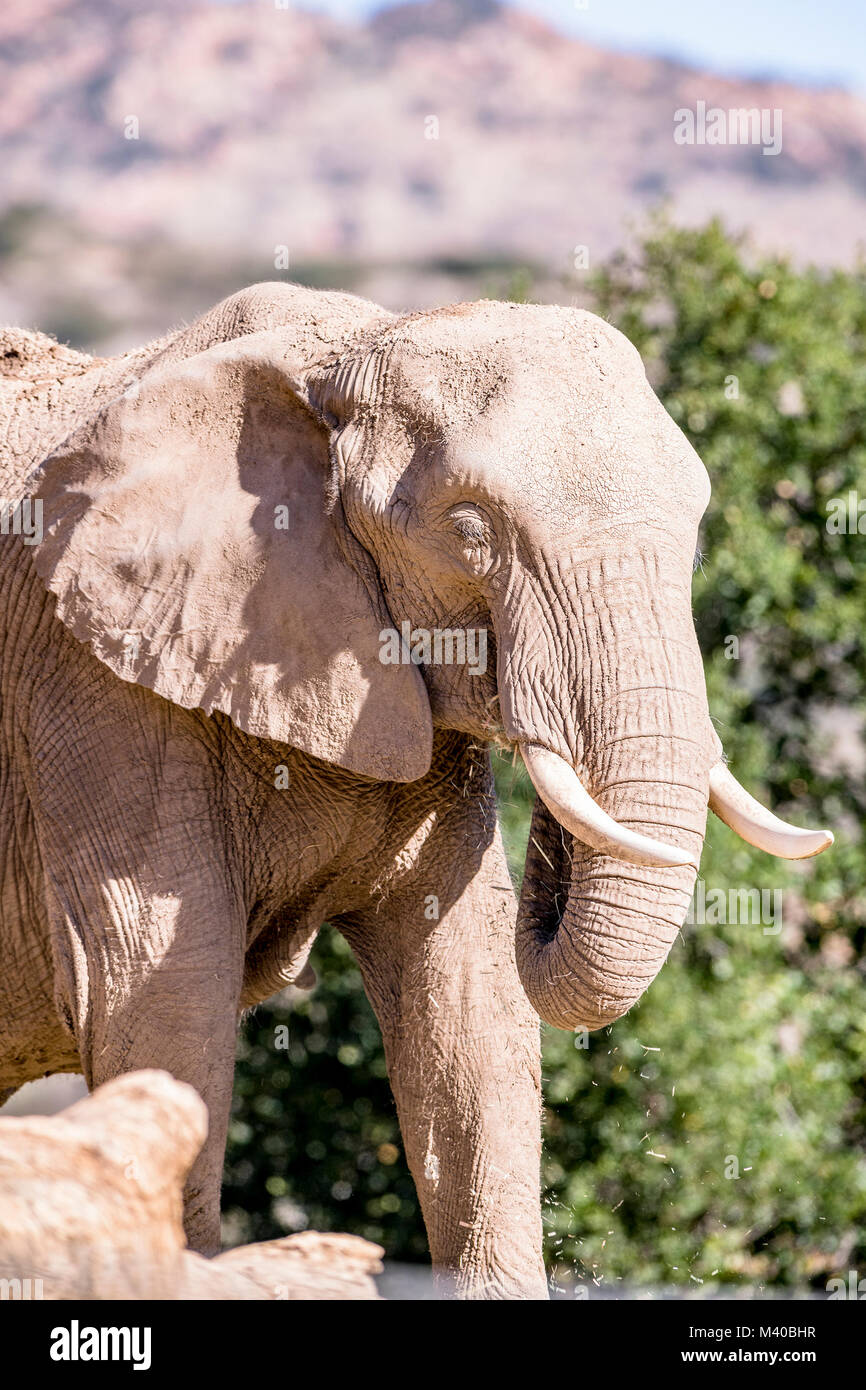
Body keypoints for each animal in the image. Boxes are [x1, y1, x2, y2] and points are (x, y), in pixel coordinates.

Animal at [0, 284, 834, 1301]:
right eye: (469, 530)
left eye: (698, 525)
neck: (354, 347)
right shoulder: (92, 682)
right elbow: (158, 997)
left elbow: (466, 997)